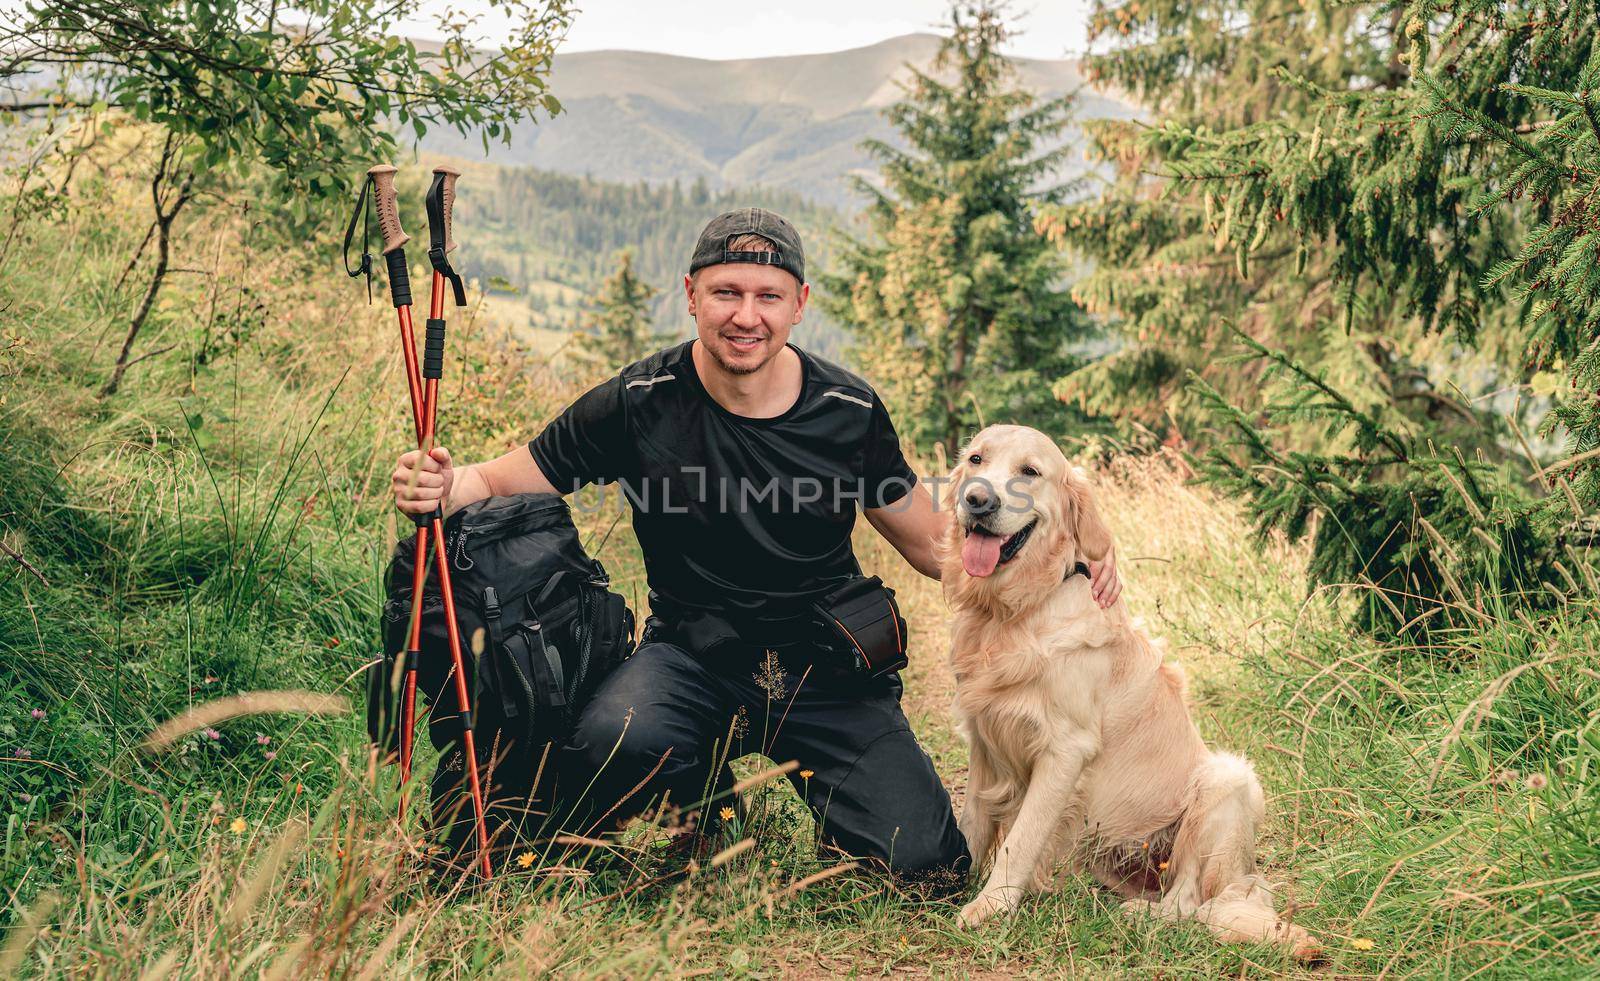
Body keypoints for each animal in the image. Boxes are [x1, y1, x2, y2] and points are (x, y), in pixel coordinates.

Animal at [940, 422, 1318, 953]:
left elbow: (1022, 837)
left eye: (1029, 471)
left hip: (1226, 780)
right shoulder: (983, 737)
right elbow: (973, 820)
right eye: (976, 459)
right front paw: (957, 883)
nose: (976, 500)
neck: (1015, 611)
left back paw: (1141, 916)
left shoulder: (1065, 750)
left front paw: (988, 907)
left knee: (1189, 902)